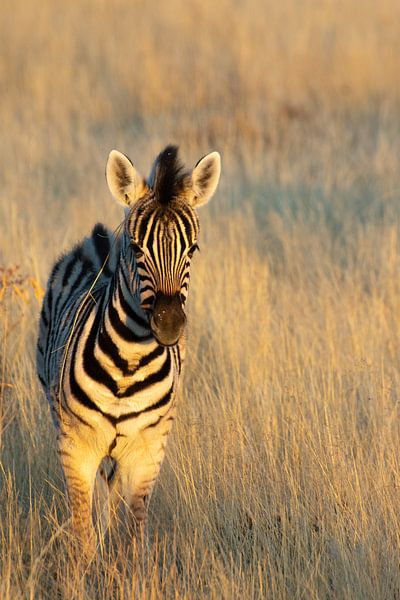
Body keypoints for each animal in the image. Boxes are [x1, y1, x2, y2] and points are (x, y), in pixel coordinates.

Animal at [36, 146, 222, 552]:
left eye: (193, 248)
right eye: (136, 248)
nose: (169, 324)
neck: (129, 363)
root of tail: (102, 237)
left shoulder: (148, 450)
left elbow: (135, 535)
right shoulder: (75, 446)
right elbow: (83, 535)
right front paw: (86, 568)